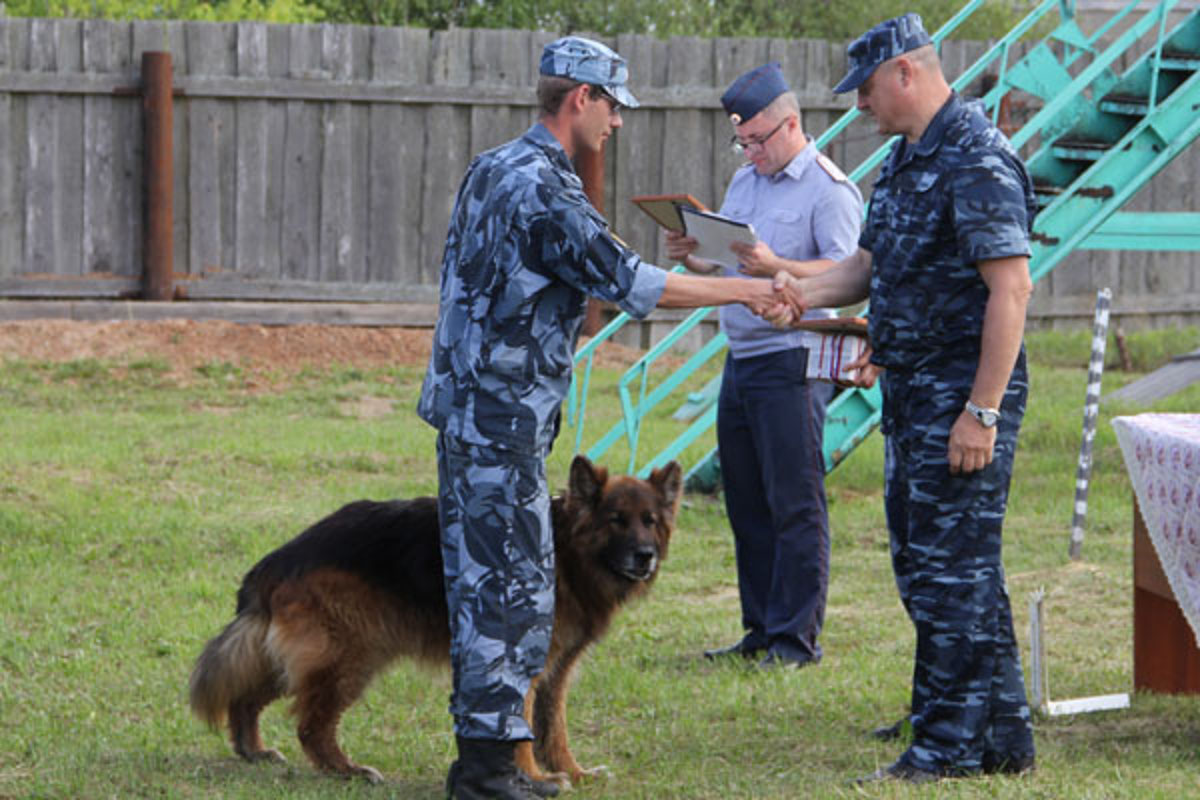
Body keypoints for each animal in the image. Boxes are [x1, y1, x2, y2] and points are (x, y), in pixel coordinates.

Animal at [186, 455, 676, 786]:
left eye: (650, 521)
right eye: (616, 520)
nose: (645, 557)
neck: (565, 549)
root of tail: (280, 559)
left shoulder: (557, 670)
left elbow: (553, 728)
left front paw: (574, 772)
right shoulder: (520, 664)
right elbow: (520, 729)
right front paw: (534, 780)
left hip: (295, 659)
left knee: (245, 698)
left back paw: (253, 750)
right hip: (349, 659)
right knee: (311, 726)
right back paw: (347, 770)